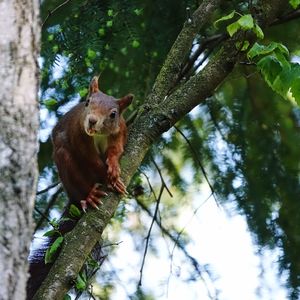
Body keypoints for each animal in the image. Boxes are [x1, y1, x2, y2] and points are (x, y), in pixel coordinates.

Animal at [51, 76, 132, 210]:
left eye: (113, 114)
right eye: (87, 102)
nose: (92, 121)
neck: (98, 134)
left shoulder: (118, 132)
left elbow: (116, 149)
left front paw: (114, 166)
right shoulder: (78, 135)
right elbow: (91, 160)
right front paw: (108, 179)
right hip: (67, 169)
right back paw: (89, 196)